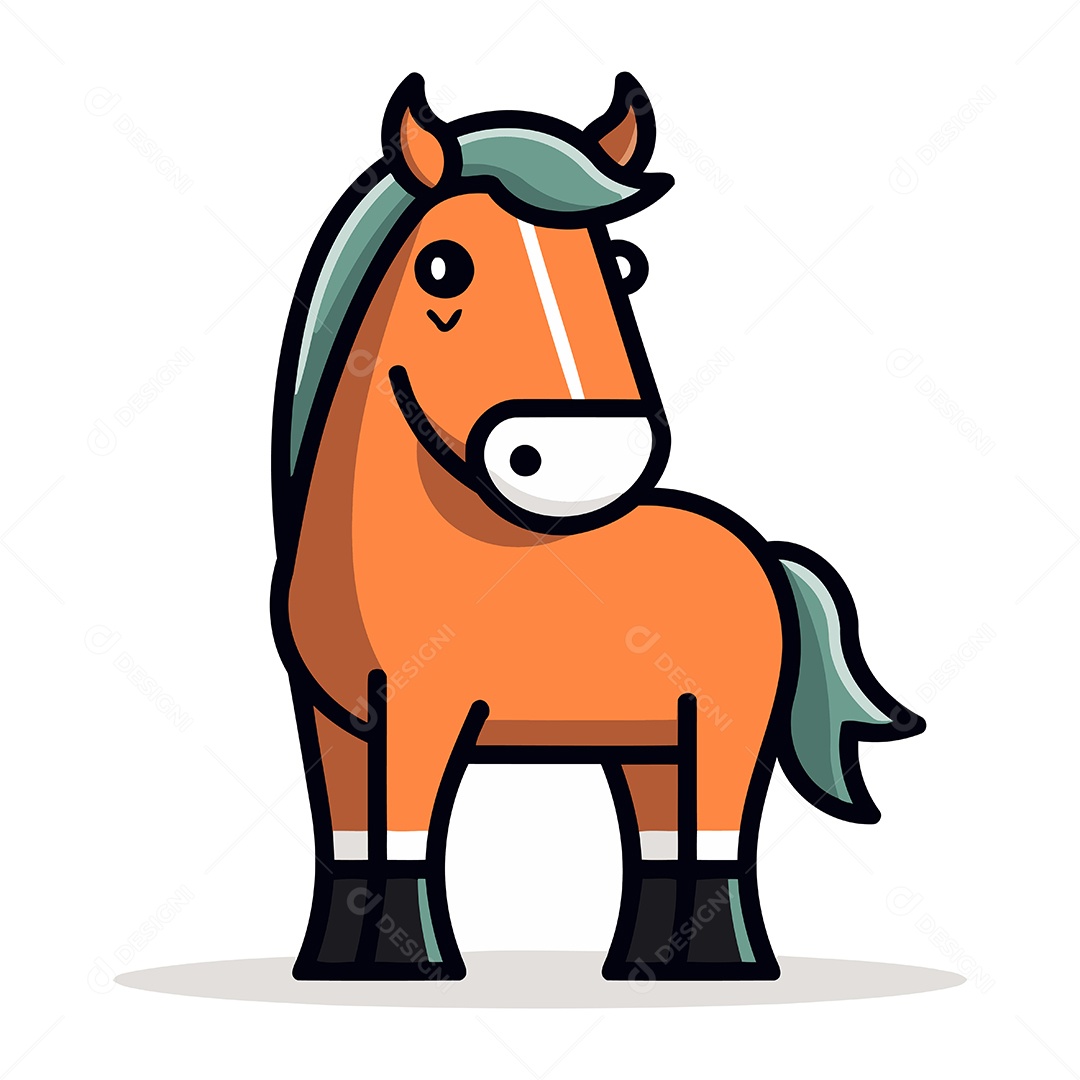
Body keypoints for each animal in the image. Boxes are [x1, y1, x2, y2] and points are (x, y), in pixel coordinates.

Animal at [270, 72, 925, 983]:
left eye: (624, 264)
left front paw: (415, 964)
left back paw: (716, 967)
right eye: (443, 265)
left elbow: (406, 829)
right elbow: (352, 837)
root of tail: (762, 552)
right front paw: (349, 966)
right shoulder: (333, 717)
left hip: (716, 733)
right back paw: (649, 966)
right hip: (650, 743)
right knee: (657, 836)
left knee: (713, 835)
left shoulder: (426, 711)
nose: (582, 454)